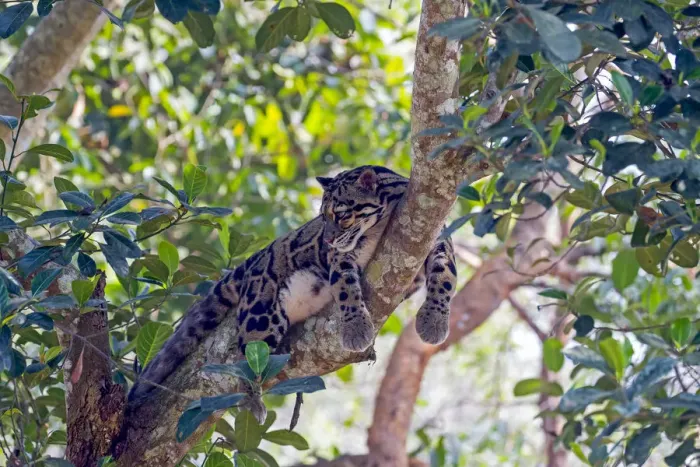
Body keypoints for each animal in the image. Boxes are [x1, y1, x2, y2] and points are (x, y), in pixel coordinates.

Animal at [128, 165, 457, 402]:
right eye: (321, 216)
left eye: (341, 215)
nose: (326, 239)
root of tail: (251, 261)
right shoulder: (338, 257)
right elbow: (346, 288)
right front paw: (356, 327)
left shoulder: (437, 236)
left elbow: (444, 277)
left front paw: (434, 320)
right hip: (261, 314)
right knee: (248, 365)